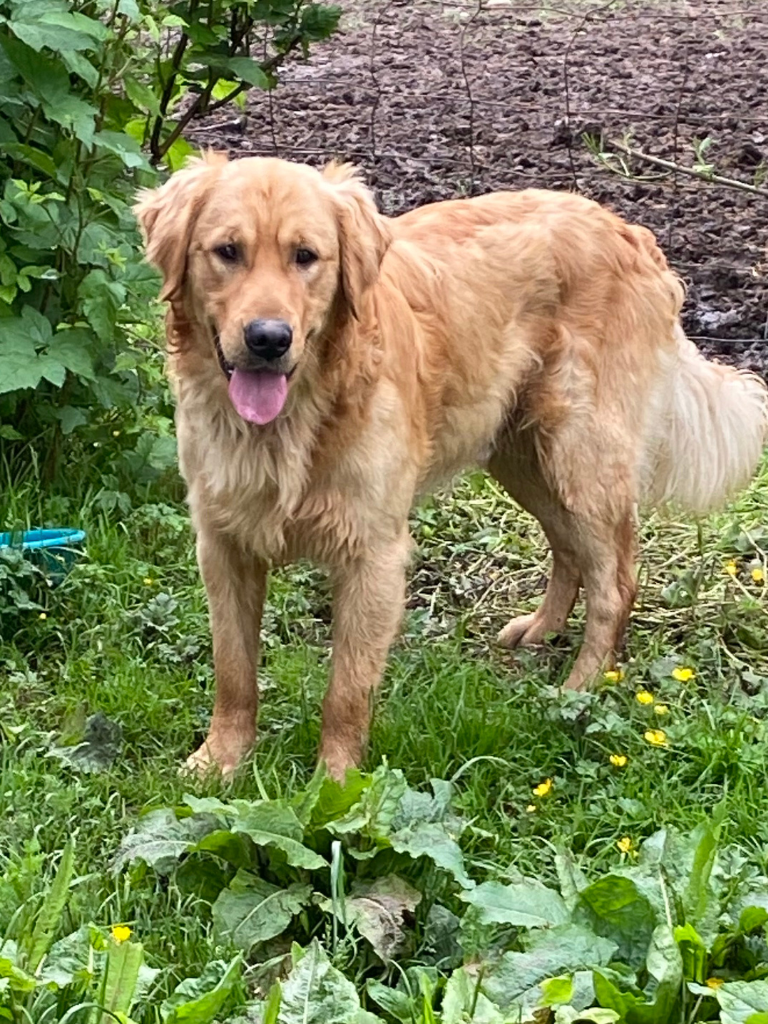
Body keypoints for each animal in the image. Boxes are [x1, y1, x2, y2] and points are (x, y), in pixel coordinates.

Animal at [134, 153, 768, 774]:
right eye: (228, 251)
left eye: (305, 256)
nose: (269, 338)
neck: (290, 422)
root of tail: (627, 229)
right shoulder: (223, 545)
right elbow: (233, 671)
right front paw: (220, 760)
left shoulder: (372, 554)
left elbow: (346, 692)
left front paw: (334, 784)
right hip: (524, 457)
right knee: (570, 549)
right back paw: (542, 630)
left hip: (582, 454)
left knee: (615, 582)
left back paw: (580, 688)